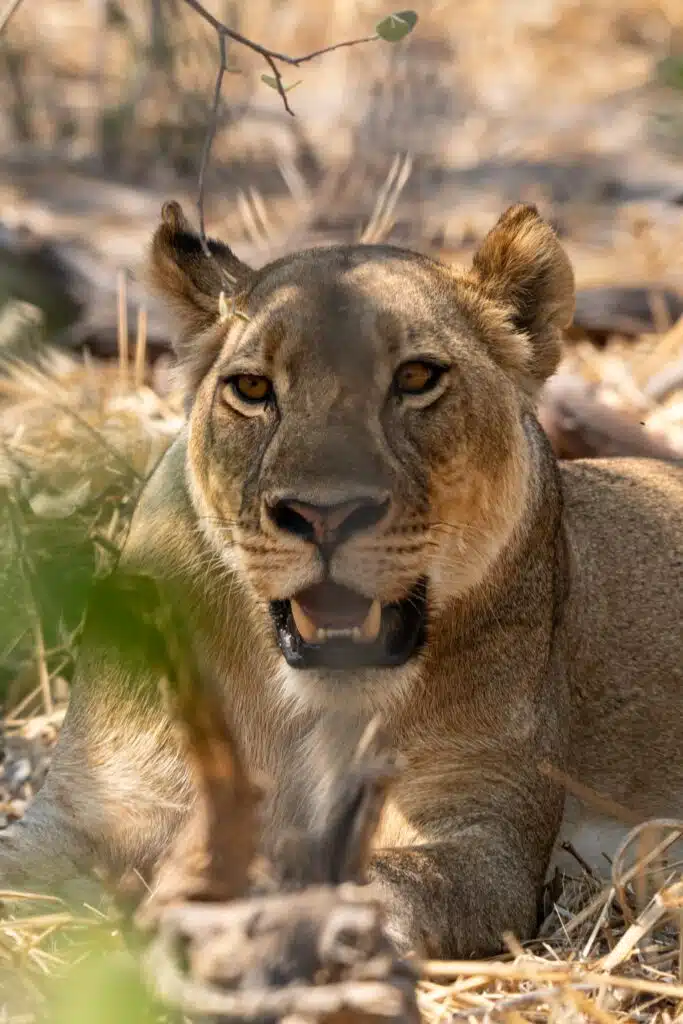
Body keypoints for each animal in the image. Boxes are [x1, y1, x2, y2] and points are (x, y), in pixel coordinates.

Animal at [0, 201, 681, 958]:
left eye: (416, 378)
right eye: (253, 389)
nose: (324, 514)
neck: (300, 712)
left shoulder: (483, 829)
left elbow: (382, 880)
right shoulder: (90, 804)